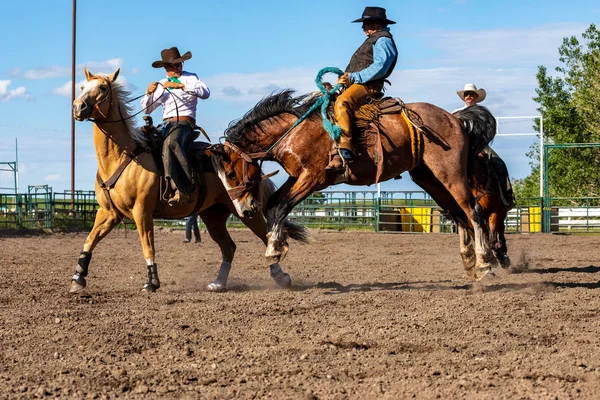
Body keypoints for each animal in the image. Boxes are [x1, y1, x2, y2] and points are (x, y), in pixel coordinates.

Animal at [69, 68, 310, 294]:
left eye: (102, 88)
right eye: (81, 87)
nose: (78, 107)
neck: (123, 156)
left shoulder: (142, 211)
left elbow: (148, 246)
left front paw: (152, 282)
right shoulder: (108, 212)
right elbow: (90, 240)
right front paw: (78, 278)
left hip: (245, 209)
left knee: (263, 236)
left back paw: (280, 277)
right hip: (213, 215)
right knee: (229, 247)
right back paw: (218, 283)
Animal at [210, 90, 496, 282]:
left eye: (231, 173)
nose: (245, 209)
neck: (295, 131)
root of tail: (456, 119)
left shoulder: (312, 178)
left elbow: (280, 206)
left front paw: (273, 249)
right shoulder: (296, 177)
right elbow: (273, 205)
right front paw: (278, 243)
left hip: (450, 174)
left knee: (473, 211)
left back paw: (484, 262)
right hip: (430, 179)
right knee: (458, 214)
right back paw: (470, 261)